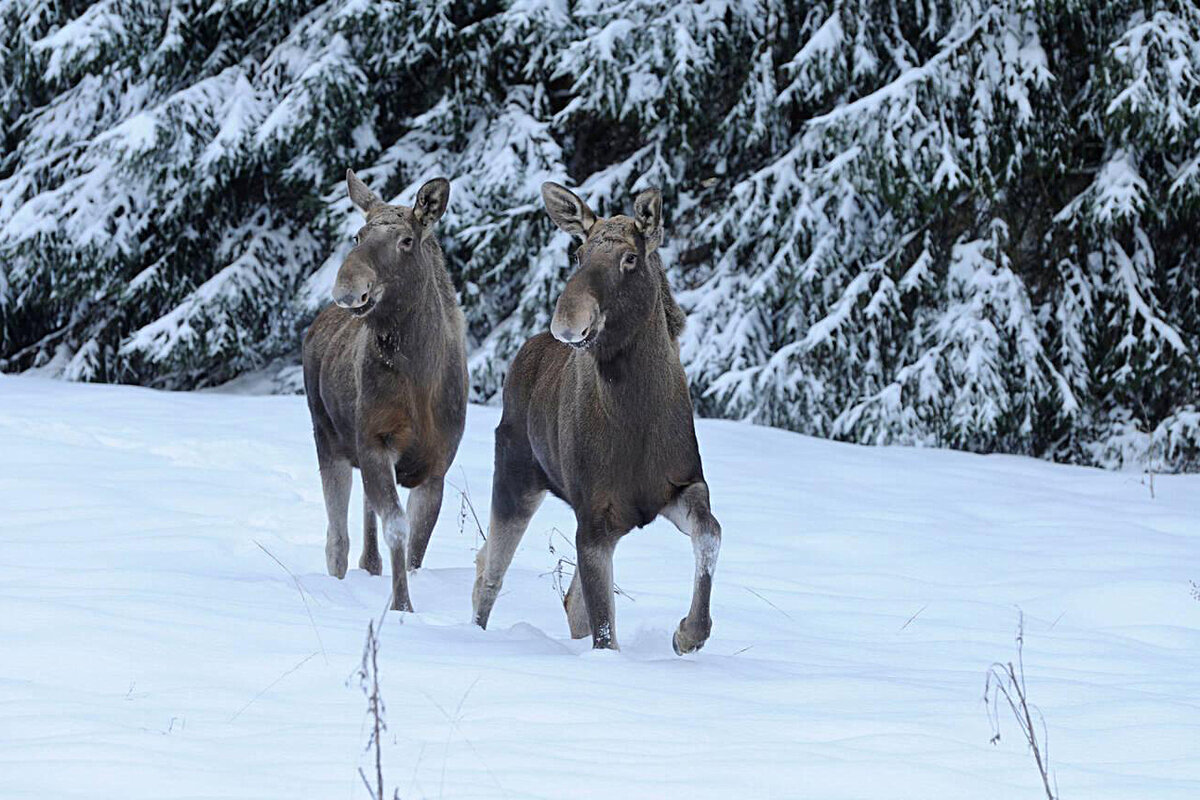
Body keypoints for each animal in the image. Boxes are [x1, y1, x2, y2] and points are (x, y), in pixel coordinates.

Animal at [302, 170, 465, 614]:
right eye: (358, 235)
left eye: (406, 240)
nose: (347, 287)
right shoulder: (375, 442)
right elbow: (397, 527)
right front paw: (401, 607)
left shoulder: (436, 465)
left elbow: (416, 548)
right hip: (328, 438)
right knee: (336, 538)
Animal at [470, 183, 720, 657]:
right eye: (579, 253)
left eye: (630, 258)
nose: (568, 321)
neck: (637, 419)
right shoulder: (593, 520)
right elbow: (604, 631)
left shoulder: (680, 485)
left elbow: (710, 533)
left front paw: (688, 633)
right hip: (514, 478)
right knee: (488, 573)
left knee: (565, 599)